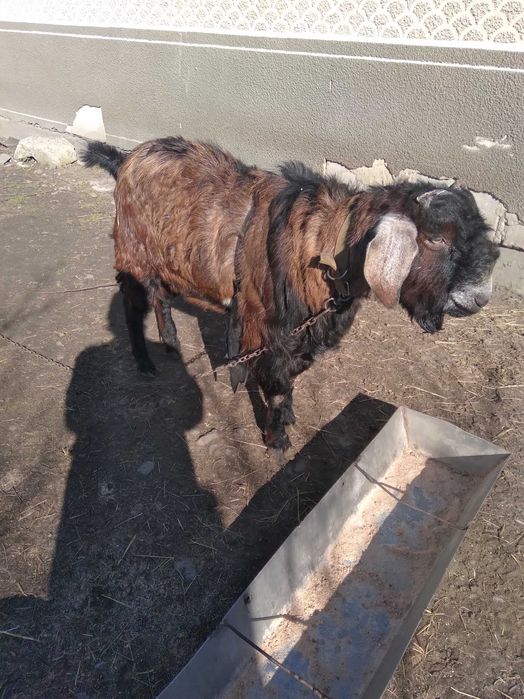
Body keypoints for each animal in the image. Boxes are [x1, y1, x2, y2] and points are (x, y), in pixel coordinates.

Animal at [82, 137, 499, 451]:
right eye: (436, 238)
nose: (480, 296)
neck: (325, 245)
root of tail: (126, 158)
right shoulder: (268, 330)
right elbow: (277, 386)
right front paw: (276, 438)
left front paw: (287, 419)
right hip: (133, 254)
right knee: (133, 308)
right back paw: (144, 361)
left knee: (161, 300)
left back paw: (169, 344)